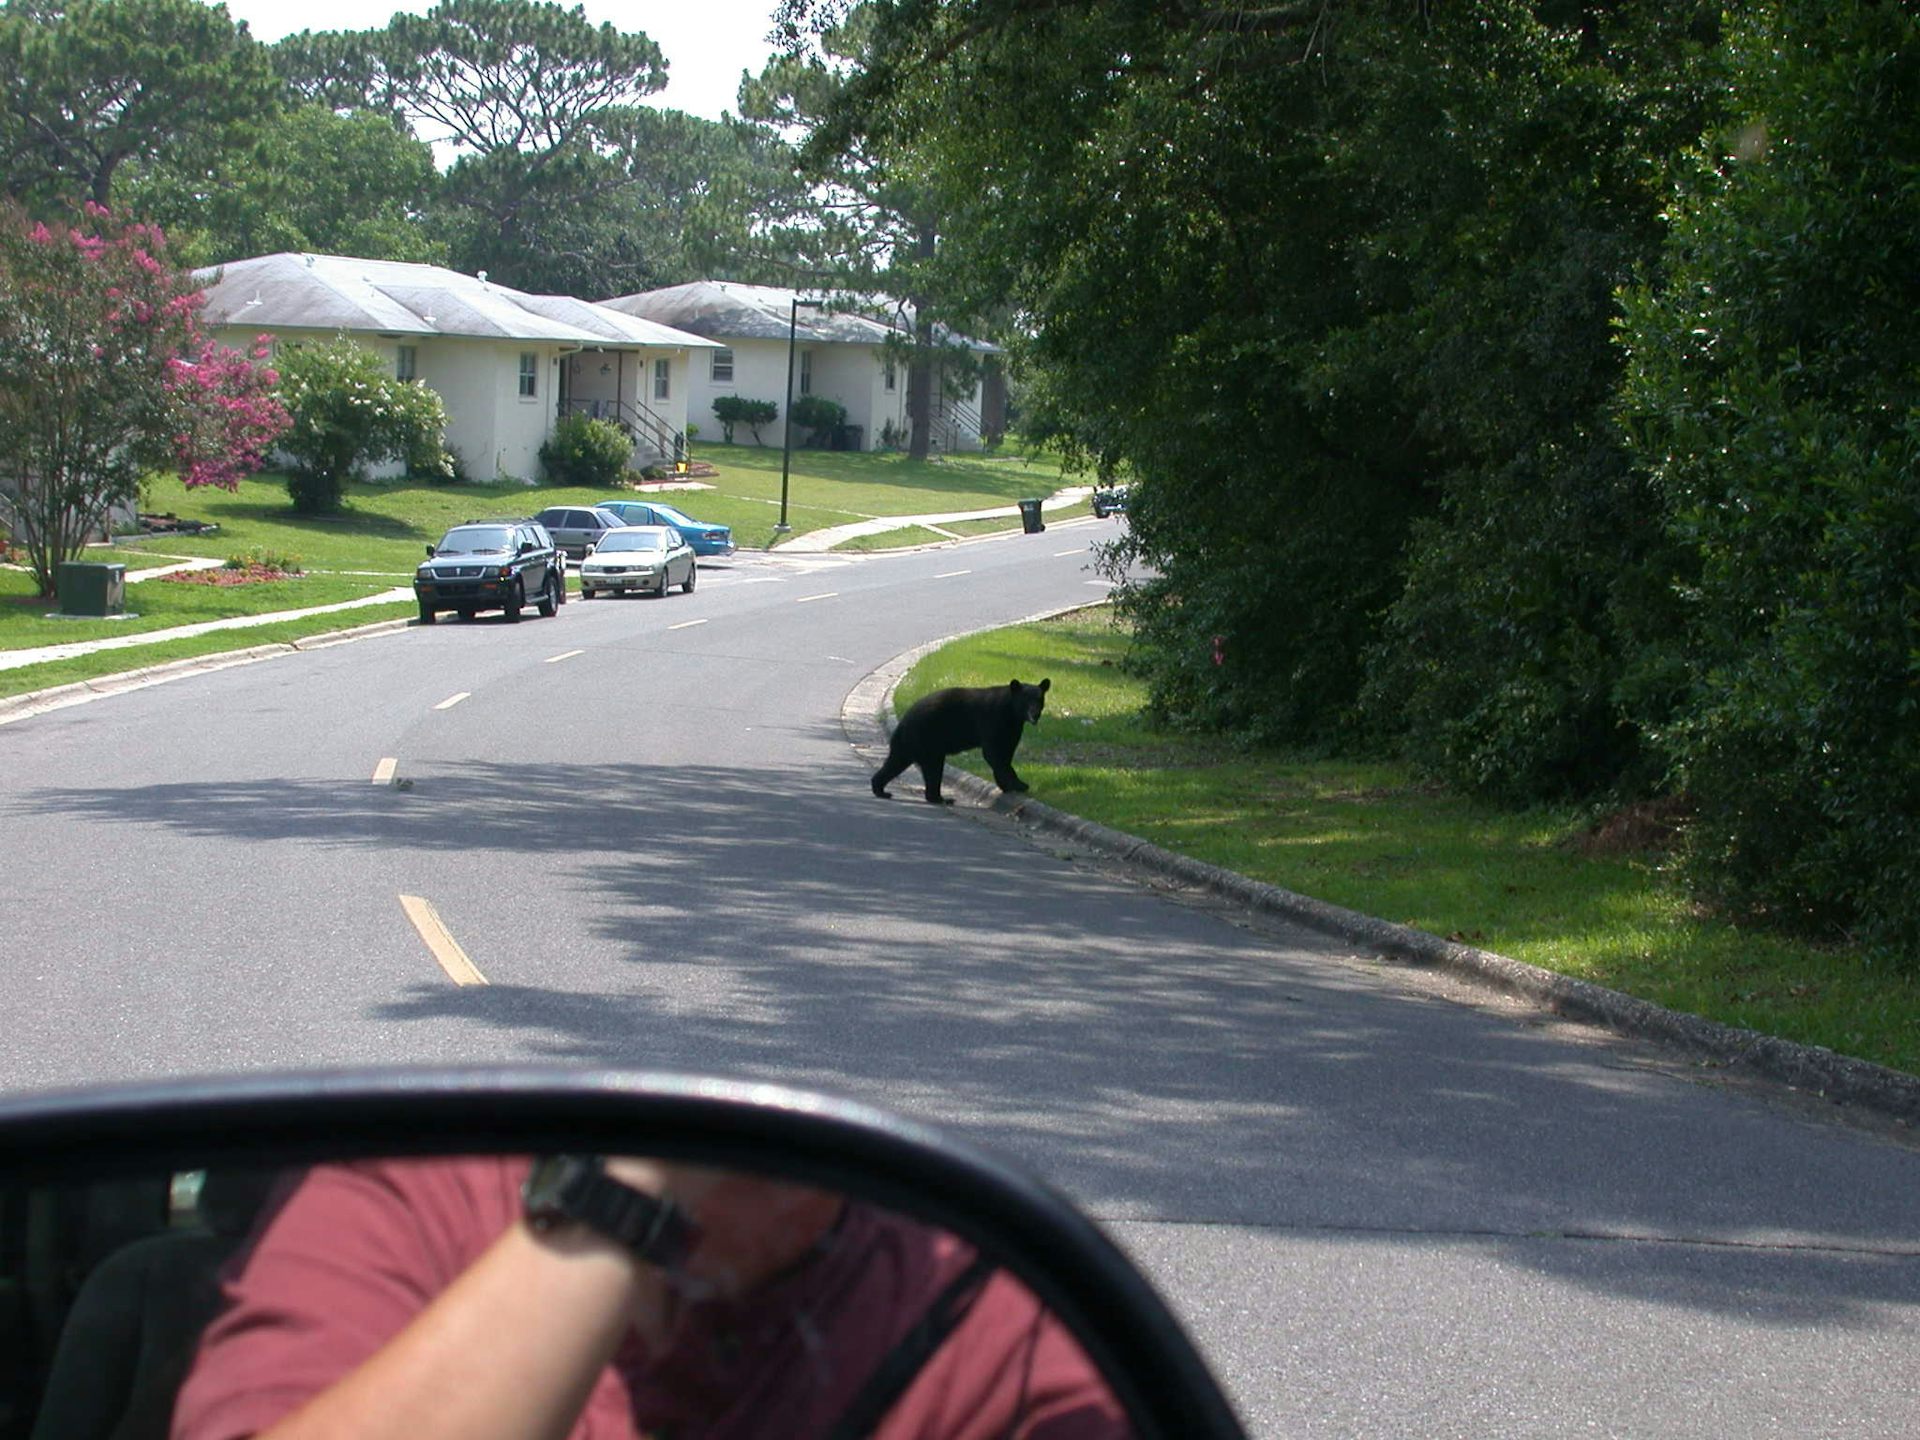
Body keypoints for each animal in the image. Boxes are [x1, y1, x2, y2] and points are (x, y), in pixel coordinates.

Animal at [871, 679, 1052, 806]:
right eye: (1026, 700)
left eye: (1039, 699)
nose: (1034, 714)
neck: (1011, 713)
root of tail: (903, 722)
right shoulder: (993, 720)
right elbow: (994, 753)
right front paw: (1017, 785)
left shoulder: (1012, 729)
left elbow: (1006, 752)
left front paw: (1010, 785)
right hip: (927, 738)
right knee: (932, 768)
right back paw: (940, 798)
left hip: (911, 744)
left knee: (896, 762)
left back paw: (881, 789)